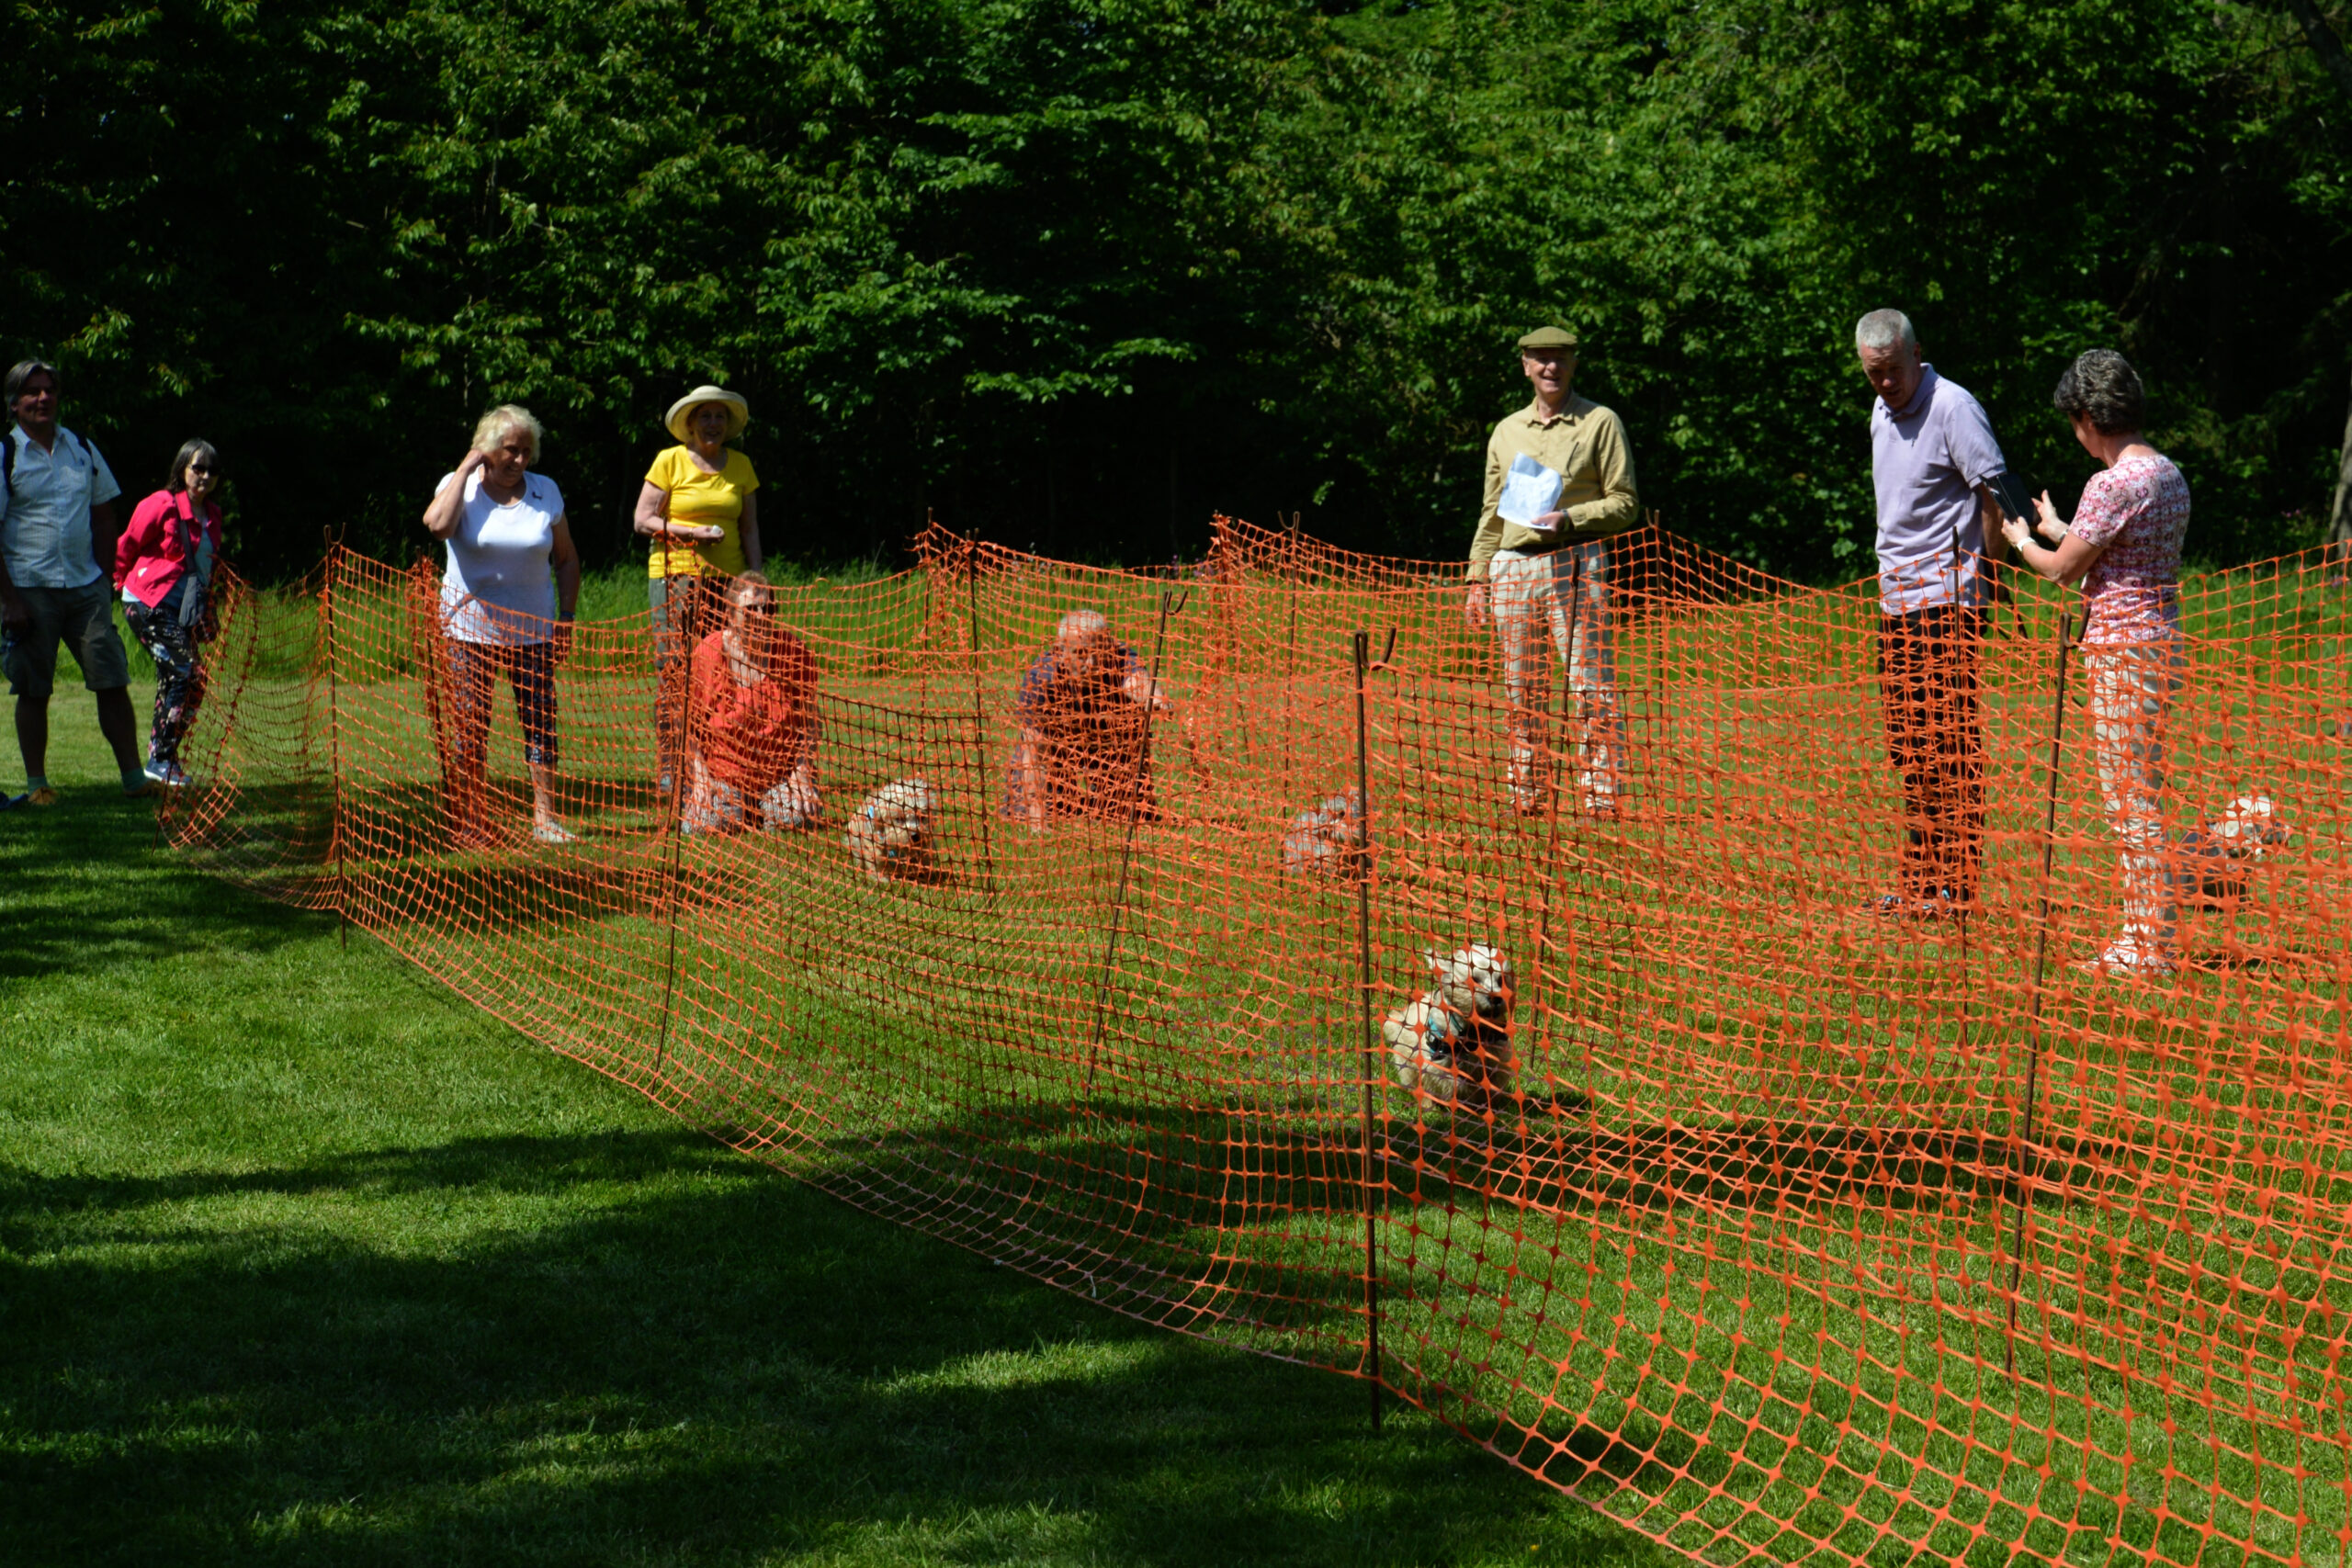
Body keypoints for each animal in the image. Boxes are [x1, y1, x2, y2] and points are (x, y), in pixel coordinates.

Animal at [1383, 944, 1514, 1114]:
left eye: (1501, 980)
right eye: (1474, 979)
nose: (1496, 998)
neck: (1473, 1032)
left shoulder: (1498, 1060)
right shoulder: (1438, 1064)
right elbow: (1450, 1084)